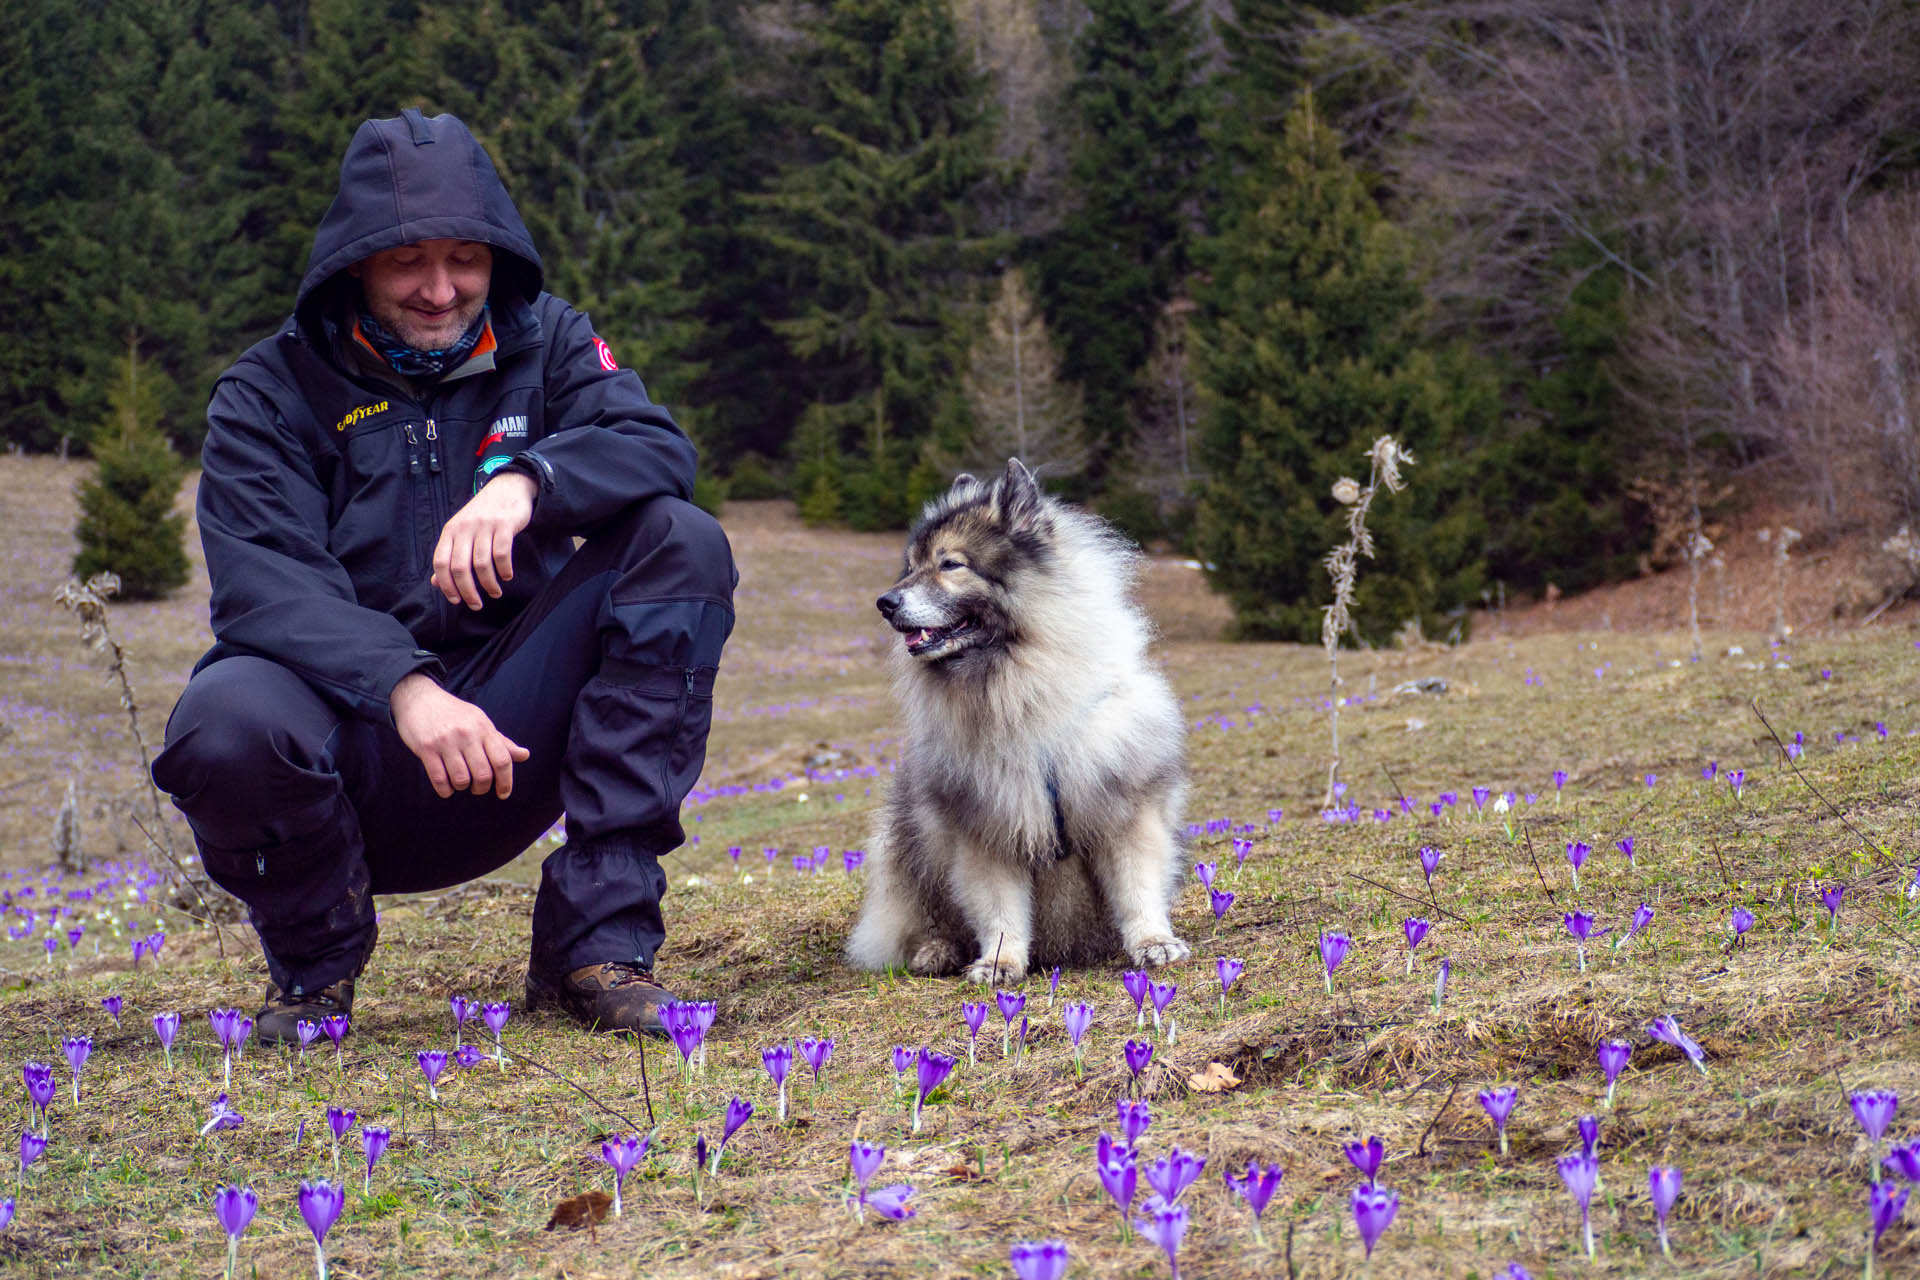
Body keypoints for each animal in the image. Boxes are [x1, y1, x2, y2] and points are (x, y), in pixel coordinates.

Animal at [852, 462, 1190, 990]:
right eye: (910, 567)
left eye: (951, 564)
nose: (885, 602)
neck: (1020, 693)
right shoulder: (987, 826)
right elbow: (999, 910)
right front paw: (999, 963)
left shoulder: (1124, 810)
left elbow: (1138, 888)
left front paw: (1155, 944)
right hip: (908, 840)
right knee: (924, 915)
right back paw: (935, 951)